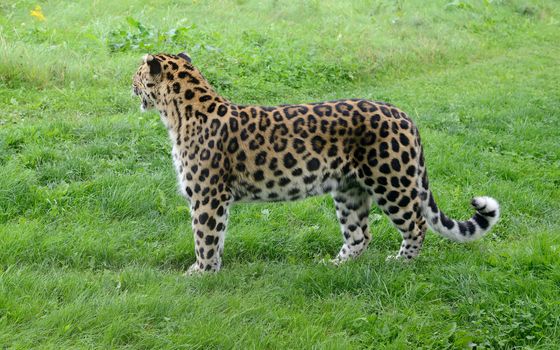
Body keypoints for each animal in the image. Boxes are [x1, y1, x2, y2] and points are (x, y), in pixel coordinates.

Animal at [131, 53, 498, 274]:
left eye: (137, 73)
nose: (129, 85)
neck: (177, 114)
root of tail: (403, 115)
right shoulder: (214, 199)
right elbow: (215, 238)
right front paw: (209, 271)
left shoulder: (208, 196)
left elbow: (205, 238)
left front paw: (201, 274)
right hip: (349, 190)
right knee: (360, 234)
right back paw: (333, 266)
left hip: (392, 182)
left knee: (416, 224)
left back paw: (401, 263)